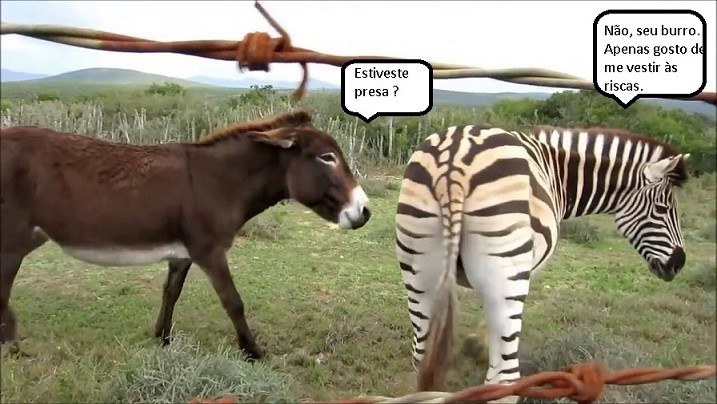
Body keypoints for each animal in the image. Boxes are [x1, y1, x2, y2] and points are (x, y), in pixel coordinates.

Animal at [394, 124, 689, 401]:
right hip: (505, 273)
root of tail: (454, 160)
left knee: (421, 358)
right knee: (505, 378)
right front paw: (480, 346)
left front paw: (475, 345)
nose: (679, 263)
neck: (558, 173)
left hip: (420, 272)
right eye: (662, 209)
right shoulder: (527, 269)